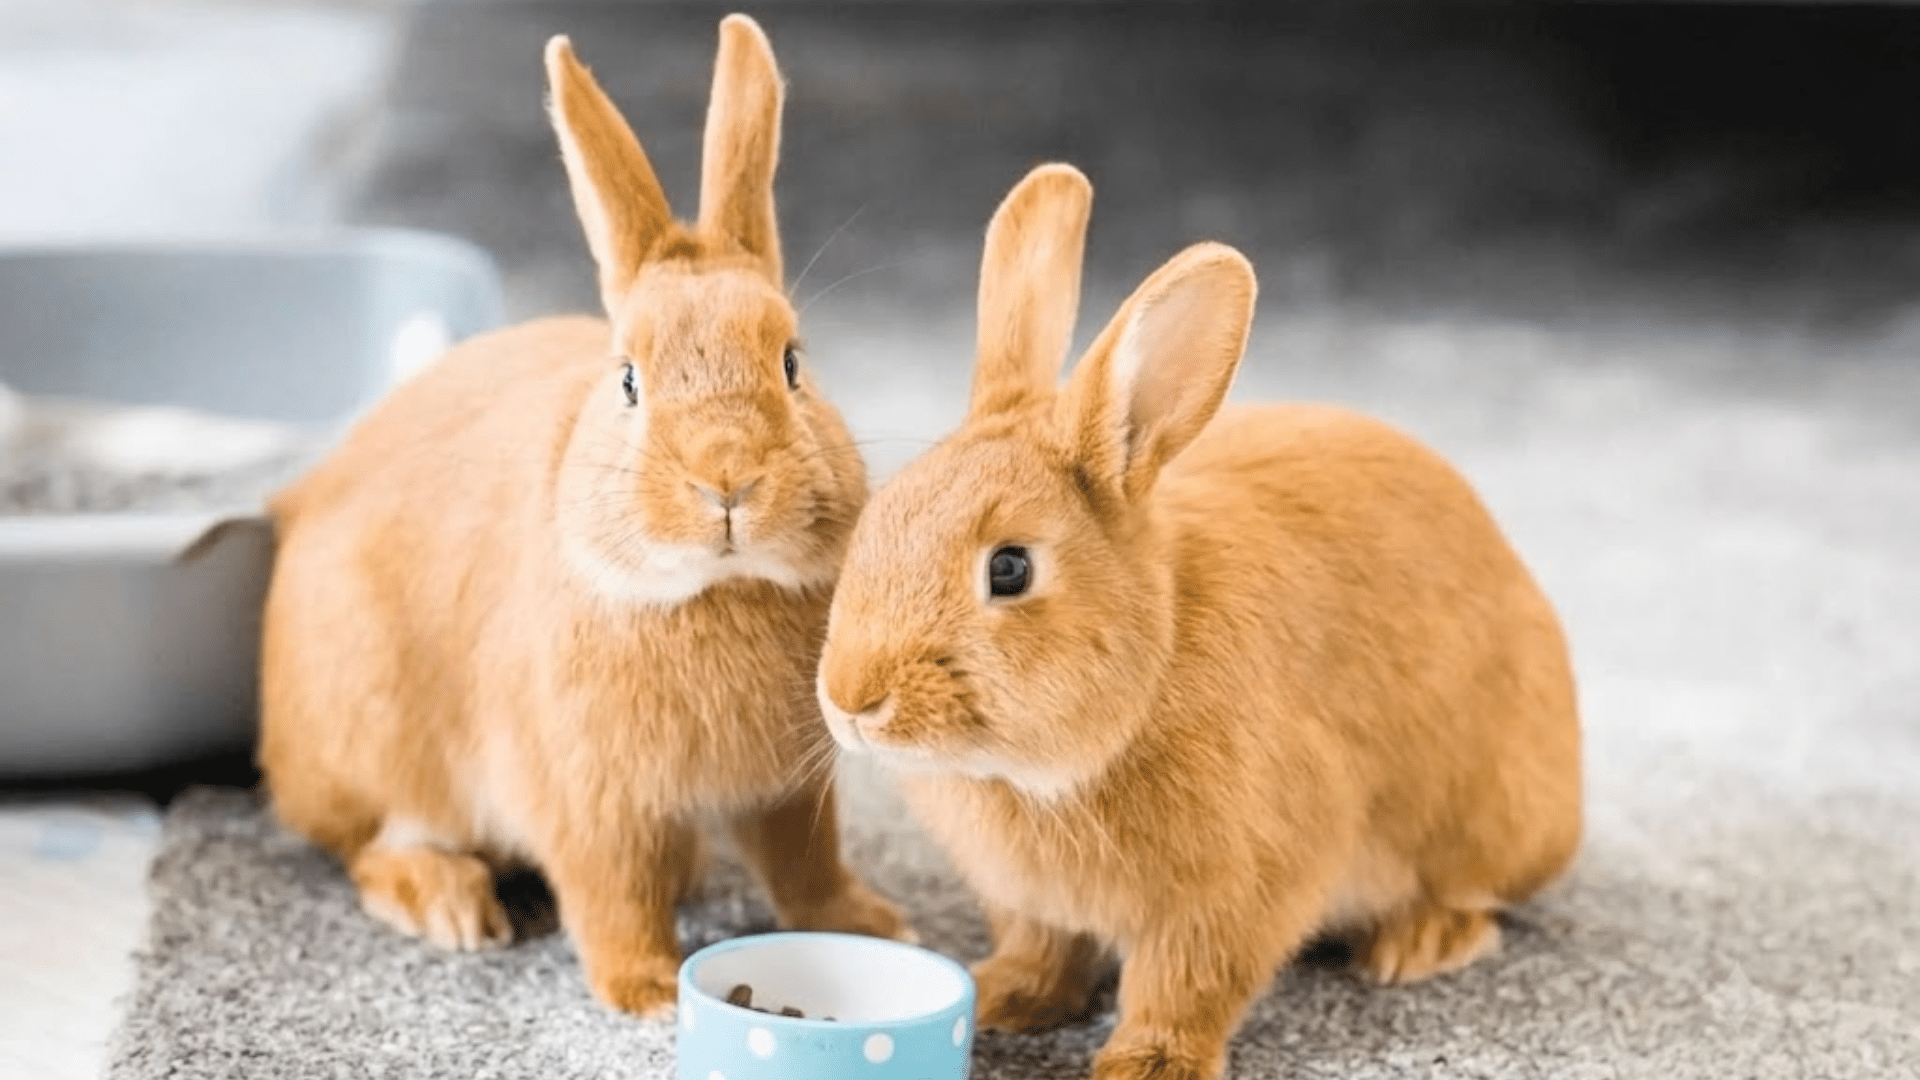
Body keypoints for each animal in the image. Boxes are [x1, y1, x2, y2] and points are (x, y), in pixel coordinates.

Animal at [259, 15, 909, 1019]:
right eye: (629, 379)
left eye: (794, 363)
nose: (728, 478)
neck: (715, 589)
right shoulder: (589, 799)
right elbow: (611, 896)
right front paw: (649, 993)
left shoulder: (789, 790)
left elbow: (806, 869)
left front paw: (874, 925)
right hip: (381, 742)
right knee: (375, 845)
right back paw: (449, 906)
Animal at [815, 163, 1583, 1080]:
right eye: (874, 521)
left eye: (1009, 569)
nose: (852, 699)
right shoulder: (1030, 901)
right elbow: (1044, 947)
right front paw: (1004, 998)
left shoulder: (1239, 887)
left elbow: (1185, 983)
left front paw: (1146, 1066)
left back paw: (1423, 942)